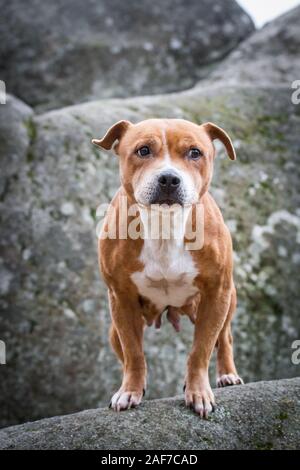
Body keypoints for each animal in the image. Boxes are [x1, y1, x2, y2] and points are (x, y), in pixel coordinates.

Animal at [92, 118, 243, 418]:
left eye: (195, 153)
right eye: (143, 150)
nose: (169, 178)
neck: (164, 225)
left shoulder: (216, 294)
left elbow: (200, 350)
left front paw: (198, 392)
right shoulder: (121, 298)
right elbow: (134, 353)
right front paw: (130, 391)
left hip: (227, 301)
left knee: (225, 337)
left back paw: (227, 374)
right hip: (114, 329)